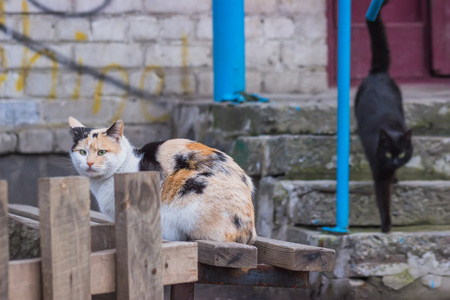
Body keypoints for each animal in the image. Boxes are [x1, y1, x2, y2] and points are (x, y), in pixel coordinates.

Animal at [354, 2, 414, 234]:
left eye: (402, 153)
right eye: (388, 153)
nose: (395, 161)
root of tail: (378, 72)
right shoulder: (379, 170)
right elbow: (383, 198)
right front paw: (386, 226)